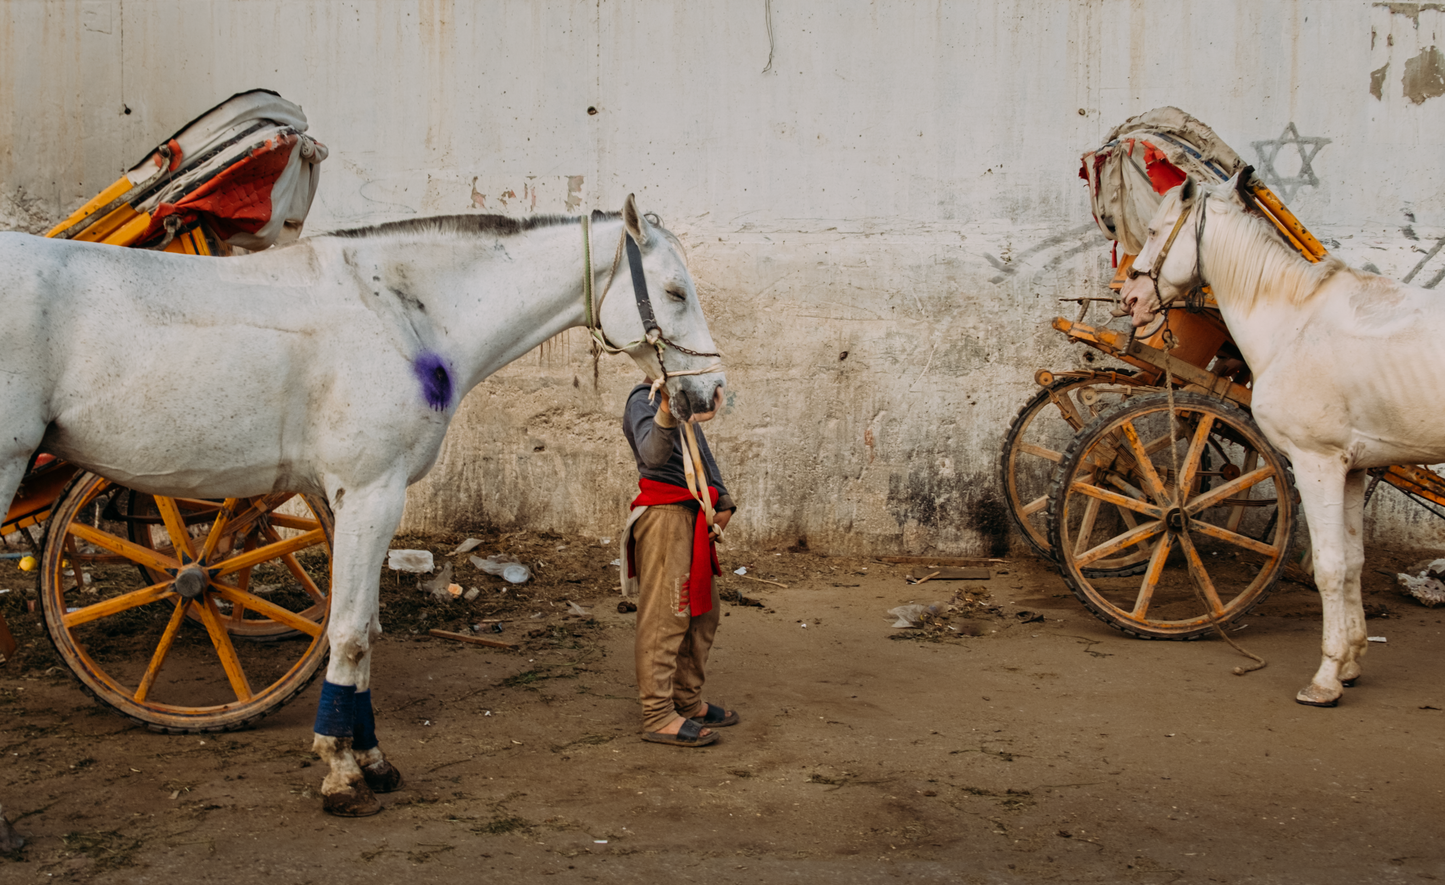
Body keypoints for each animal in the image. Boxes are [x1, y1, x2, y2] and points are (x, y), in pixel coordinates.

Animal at [0, 195, 722, 815]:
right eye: (675, 292)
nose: (711, 391)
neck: (402, 314)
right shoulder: (368, 491)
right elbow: (346, 631)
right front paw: (342, 772)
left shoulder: (366, 497)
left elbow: (365, 628)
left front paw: (371, 759)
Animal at [1121, 172, 1445, 708]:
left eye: (1152, 231)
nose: (1130, 297)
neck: (1295, 323)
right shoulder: (1352, 468)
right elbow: (1352, 562)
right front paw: (1351, 662)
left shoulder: (1317, 462)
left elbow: (1329, 566)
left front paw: (1326, 678)